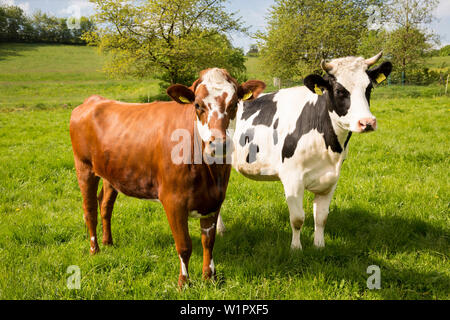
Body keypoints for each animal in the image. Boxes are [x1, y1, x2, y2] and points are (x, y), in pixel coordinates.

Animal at [70, 68, 266, 288]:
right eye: (197, 105)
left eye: (234, 104)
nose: (219, 144)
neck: (209, 172)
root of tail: (94, 100)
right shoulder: (173, 201)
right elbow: (184, 245)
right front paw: (184, 283)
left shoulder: (215, 199)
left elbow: (208, 241)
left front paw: (209, 277)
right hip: (84, 167)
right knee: (90, 211)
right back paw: (95, 250)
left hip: (111, 173)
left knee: (105, 206)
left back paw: (108, 242)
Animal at [220, 52, 392, 250]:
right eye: (340, 91)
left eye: (369, 88)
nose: (367, 122)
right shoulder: (292, 178)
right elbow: (297, 219)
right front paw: (296, 249)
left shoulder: (331, 179)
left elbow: (321, 217)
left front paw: (319, 245)